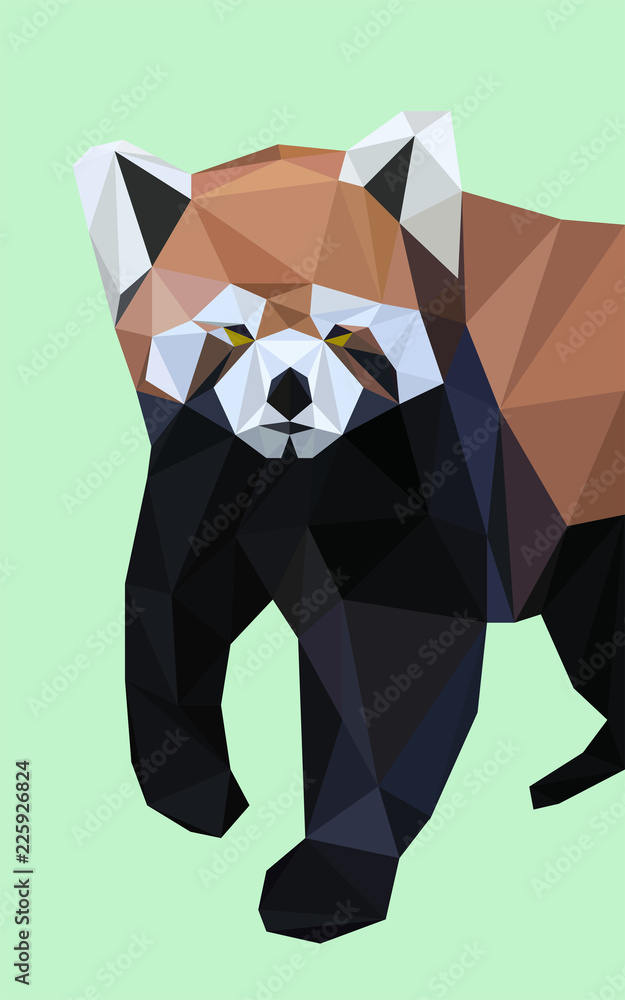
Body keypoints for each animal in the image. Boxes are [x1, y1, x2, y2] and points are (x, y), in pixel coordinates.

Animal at [74, 111, 624, 942]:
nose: (288, 390)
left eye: (341, 333)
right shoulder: (208, 466)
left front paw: (327, 883)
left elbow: (387, 678)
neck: (295, 471)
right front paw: (193, 787)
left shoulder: (422, 494)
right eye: (232, 334)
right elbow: (169, 607)